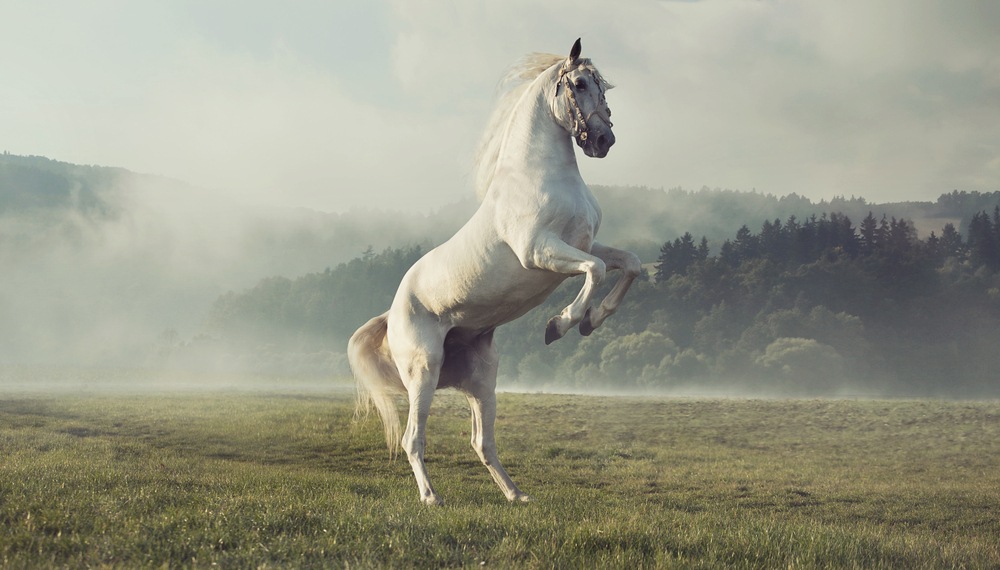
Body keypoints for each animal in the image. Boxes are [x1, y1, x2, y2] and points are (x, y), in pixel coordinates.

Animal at [348, 38, 640, 505]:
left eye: (603, 86)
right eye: (579, 84)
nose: (603, 140)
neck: (539, 176)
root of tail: (391, 313)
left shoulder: (581, 246)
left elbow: (628, 264)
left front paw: (592, 321)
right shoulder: (540, 252)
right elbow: (595, 271)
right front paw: (561, 324)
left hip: (482, 378)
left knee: (481, 442)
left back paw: (516, 495)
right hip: (423, 372)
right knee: (413, 438)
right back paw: (432, 497)